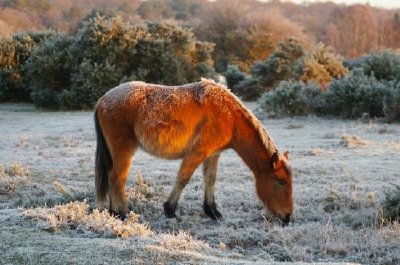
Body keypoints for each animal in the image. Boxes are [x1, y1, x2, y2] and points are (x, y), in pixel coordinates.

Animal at [94, 78, 294, 223]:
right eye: (280, 182)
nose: (287, 217)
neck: (229, 115)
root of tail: (103, 100)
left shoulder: (213, 154)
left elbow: (210, 179)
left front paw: (212, 211)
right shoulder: (198, 152)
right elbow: (183, 178)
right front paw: (170, 210)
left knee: (113, 178)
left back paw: (114, 212)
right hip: (124, 150)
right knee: (117, 179)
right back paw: (124, 214)